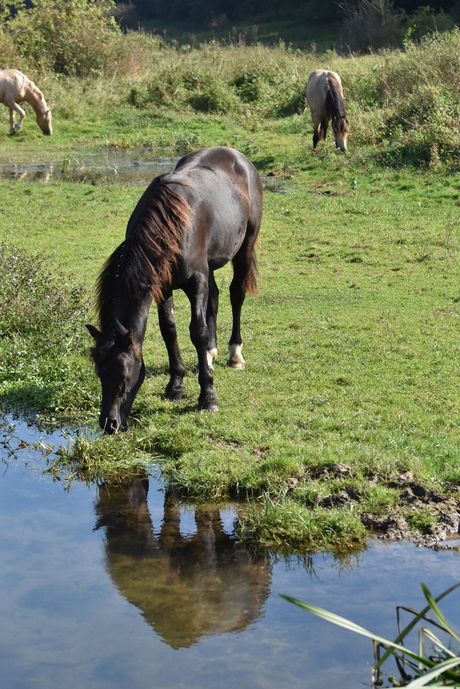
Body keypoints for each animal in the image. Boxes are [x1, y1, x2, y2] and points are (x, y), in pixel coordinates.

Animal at [86, 146, 262, 430]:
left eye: (123, 375)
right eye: (100, 373)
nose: (109, 424)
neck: (168, 226)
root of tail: (236, 155)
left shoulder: (196, 281)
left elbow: (197, 331)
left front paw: (207, 397)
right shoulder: (163, 286)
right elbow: (169, 330)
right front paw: (175, 385)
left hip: (245, 246)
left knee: (236, 295)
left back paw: (235, 355)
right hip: (210, 264)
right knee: (214, 298)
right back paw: (210, 355)